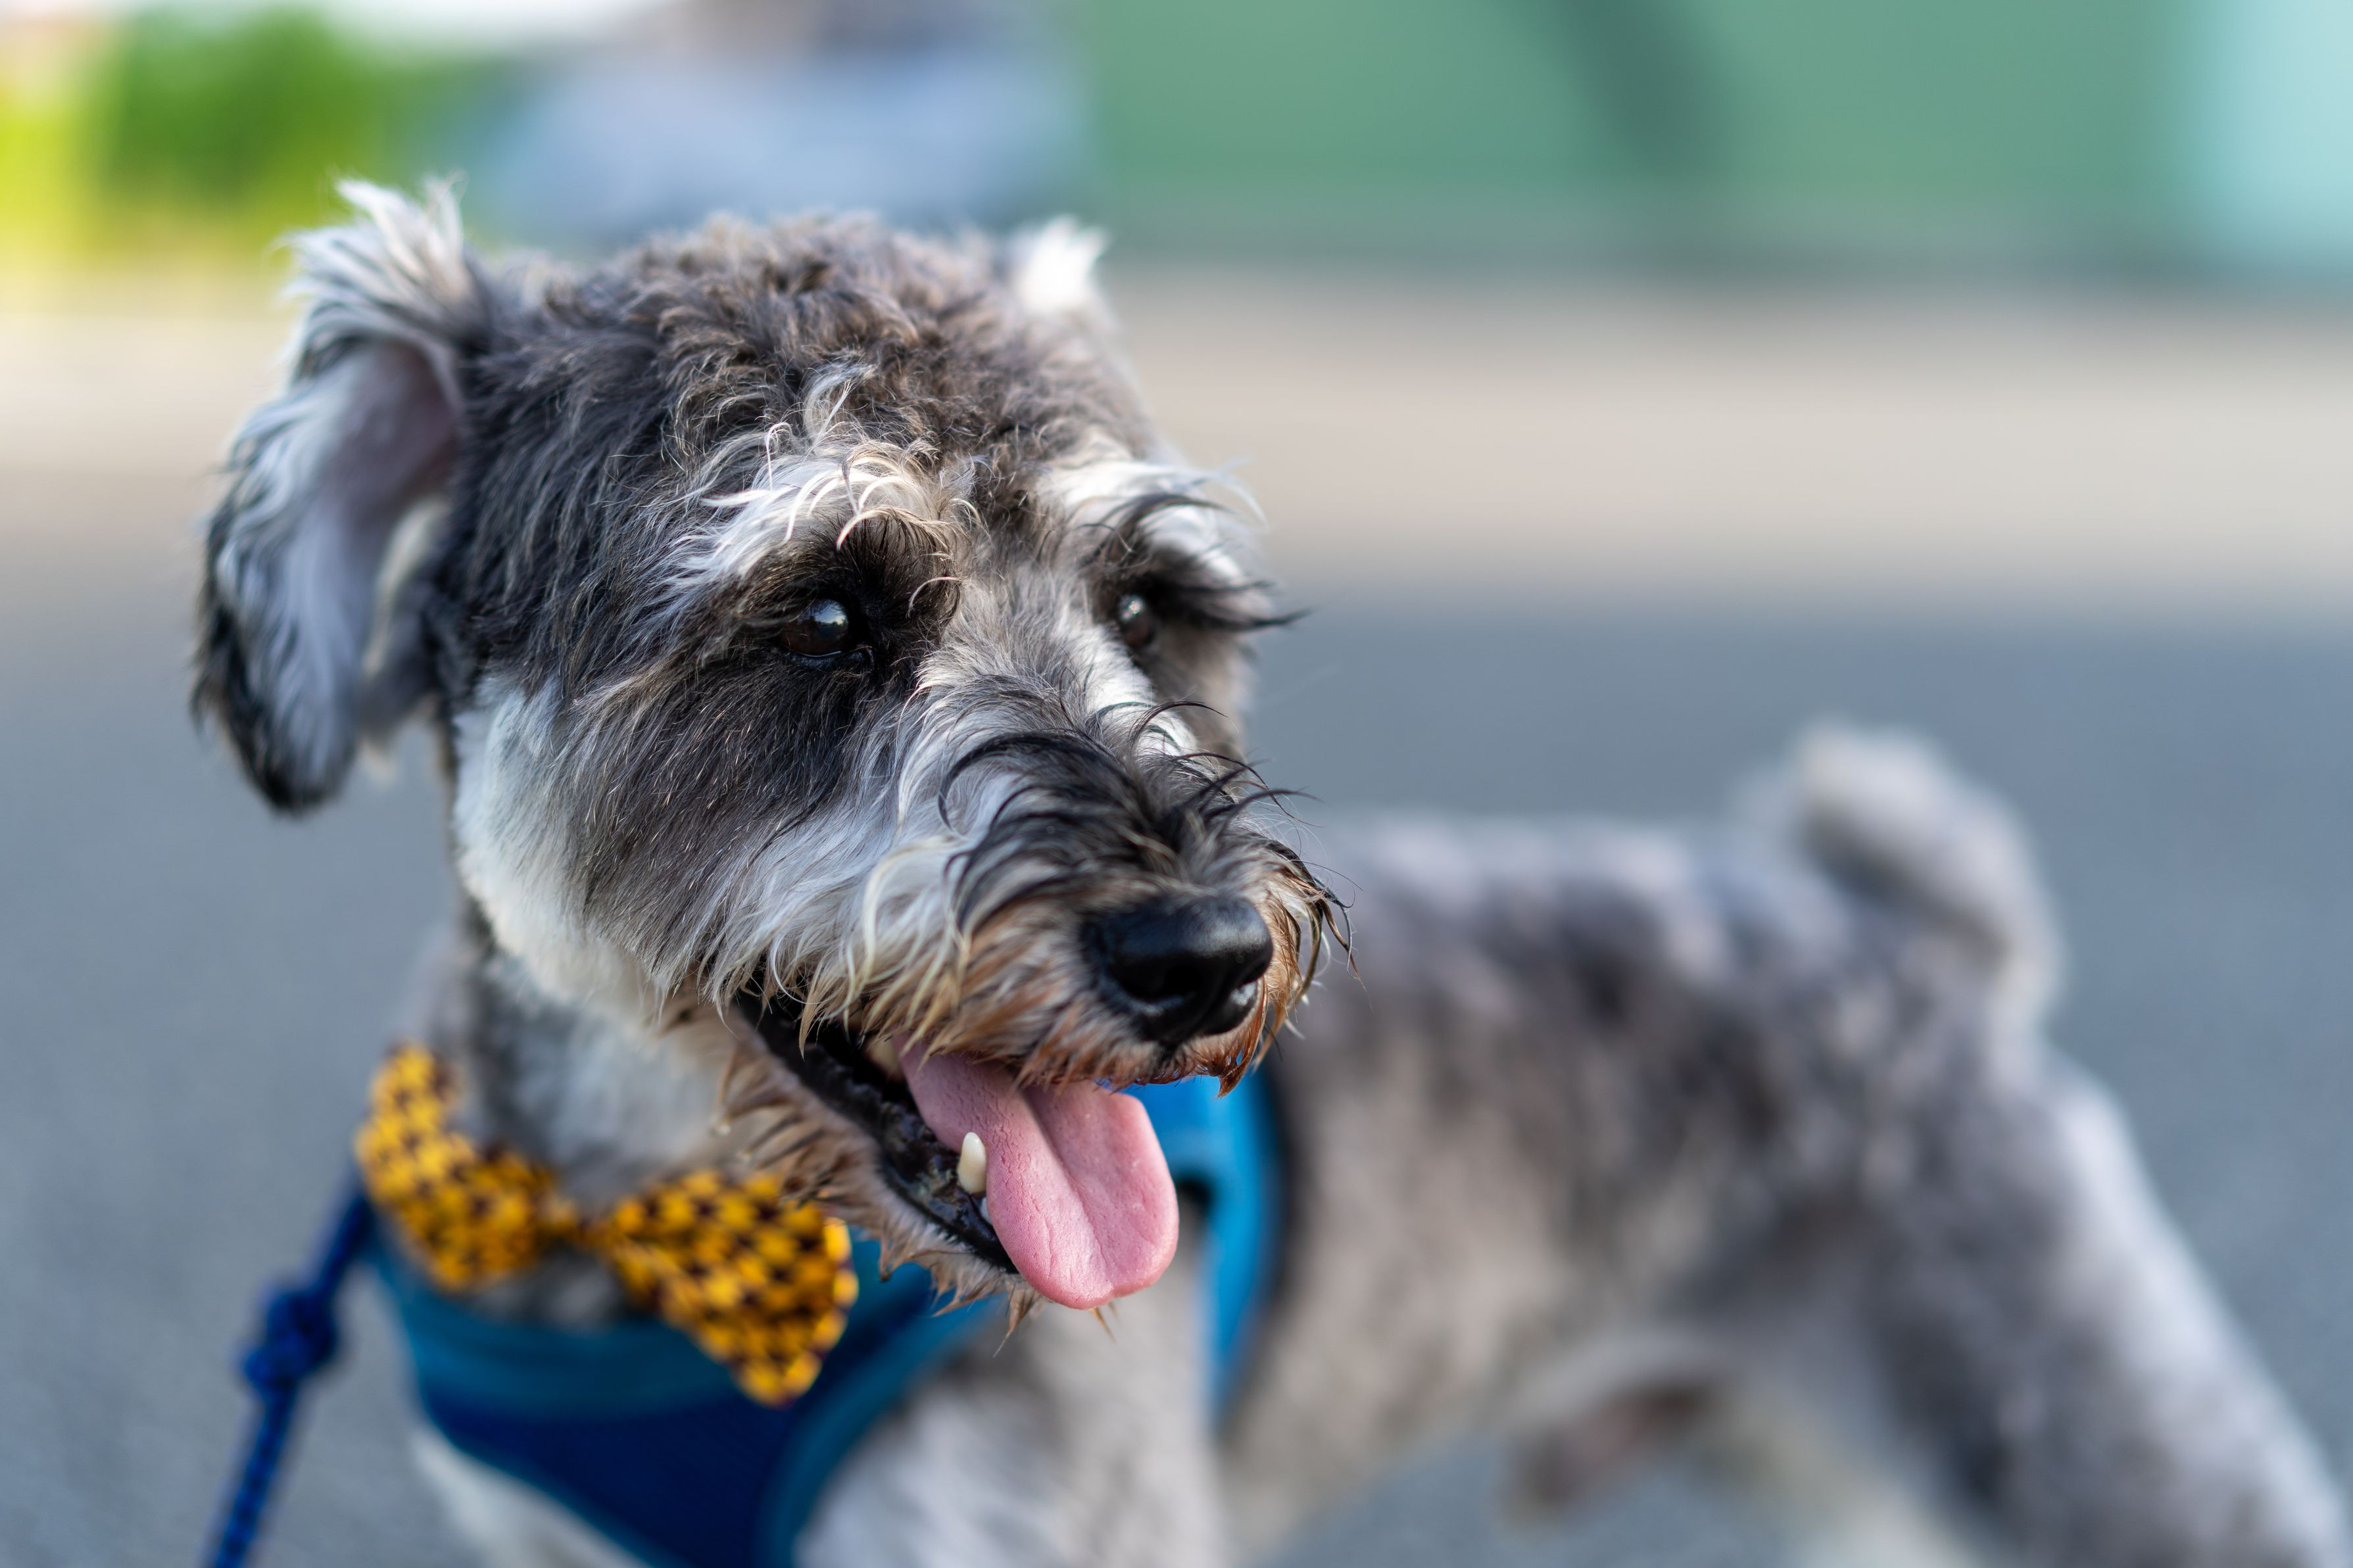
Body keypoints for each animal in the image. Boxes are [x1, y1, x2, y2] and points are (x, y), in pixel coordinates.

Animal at [194, 182, 2349, 1567]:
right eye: (819, 613)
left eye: (1151, 605)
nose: (1206, 954)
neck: (674, 1244)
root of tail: (1915, 930)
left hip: (2102, 1438)